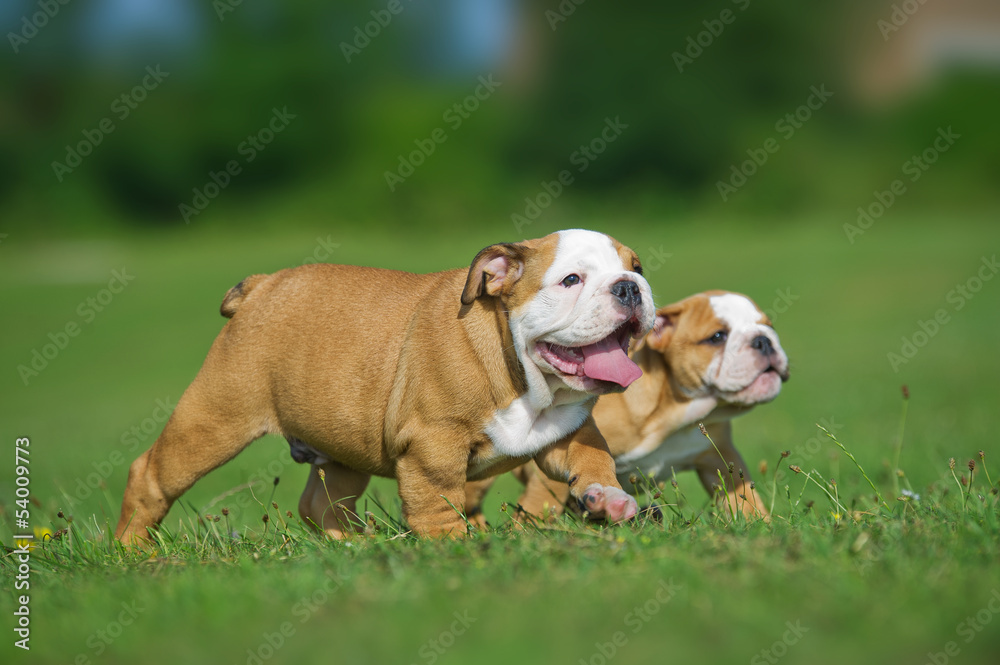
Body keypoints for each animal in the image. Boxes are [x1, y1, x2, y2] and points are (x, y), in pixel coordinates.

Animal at [115, 227, 656, 540]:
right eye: (571, 280)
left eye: (637, 267)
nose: (630, 287)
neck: (528, 379)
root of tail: (262, 286)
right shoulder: (433, 443)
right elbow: (438, 498)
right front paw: (453, 547)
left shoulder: (571, 432)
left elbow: (594, 460)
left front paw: (609, 500)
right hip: (216, 417)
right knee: (151, 476)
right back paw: (133, 553)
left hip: (340, 448)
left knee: (321, 502)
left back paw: (349, 545)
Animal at [466, 290, 788, 524]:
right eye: (717, 337)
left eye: (769, 326)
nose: (763, 341)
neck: (674, 410)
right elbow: (539, 504)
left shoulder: (718, 455)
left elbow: (742, 492)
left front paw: (761, 525)